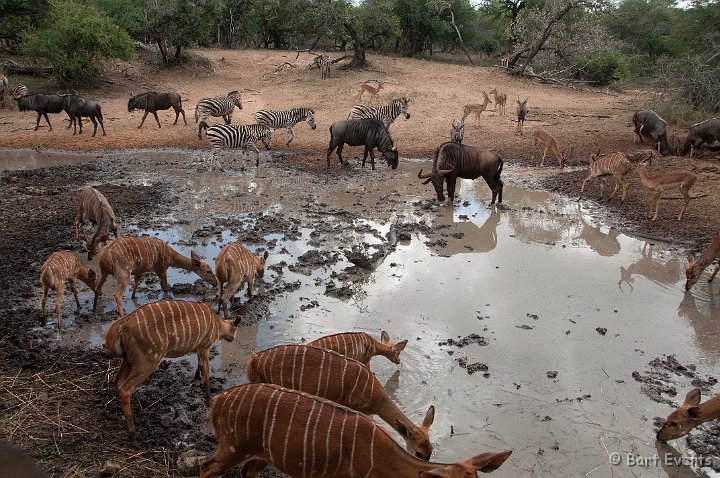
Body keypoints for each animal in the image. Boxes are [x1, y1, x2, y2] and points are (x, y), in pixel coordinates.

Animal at [105, 300, 242, 442]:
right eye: (235, 329)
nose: (233, 338)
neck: (216, 324)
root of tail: (120, 325)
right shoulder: (205, 346)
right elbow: (205, 373)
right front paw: (210, 401)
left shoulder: (199, 348)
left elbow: (199, 367)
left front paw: (196, 378)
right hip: (147, 360)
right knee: (125, 388)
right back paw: (133, 435)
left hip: (128, 360)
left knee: (117, 381)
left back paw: (136, 420)